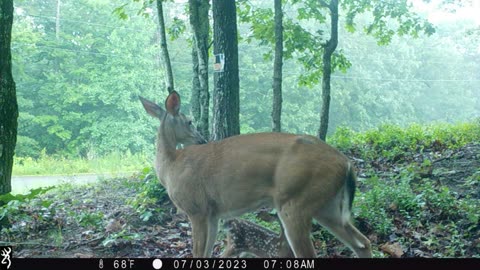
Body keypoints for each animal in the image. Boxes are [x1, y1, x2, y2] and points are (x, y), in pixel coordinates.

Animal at [139, 90, 372, 258]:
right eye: (189, 121)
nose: (201, 139)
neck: (171, 166)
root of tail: (347, 164)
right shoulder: (213, 213)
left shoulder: (196, 208)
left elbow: (197, 254)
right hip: (327, 206)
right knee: (363, 243)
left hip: (296, 201)